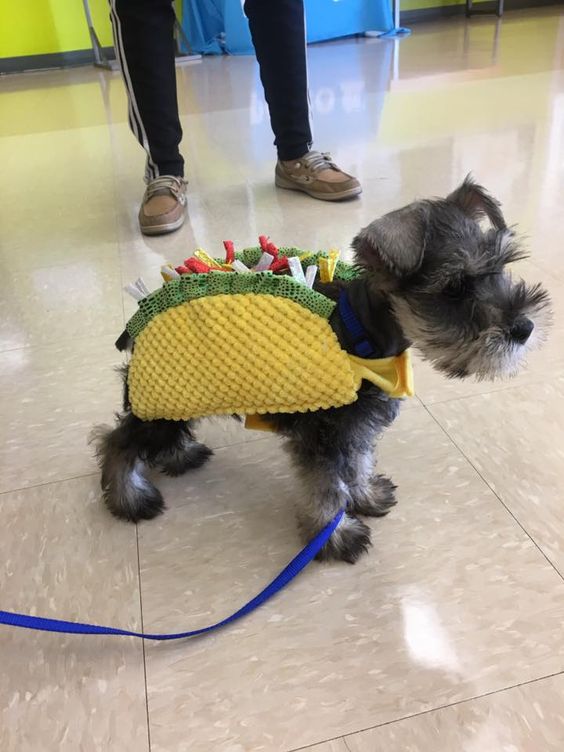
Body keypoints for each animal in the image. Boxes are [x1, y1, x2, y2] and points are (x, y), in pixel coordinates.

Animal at [93, 178, 552, 564]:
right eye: (454, 287)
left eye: (502, 267)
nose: (524, 328)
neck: (360, 333)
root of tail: (139, 321)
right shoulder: (323, 438)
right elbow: (327, 488)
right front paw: (336, 537)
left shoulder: (356, 427)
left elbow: (358, 463)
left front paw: (365, 496)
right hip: (163, 400)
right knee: (118, 441)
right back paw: (129, 498)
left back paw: (180, 457)